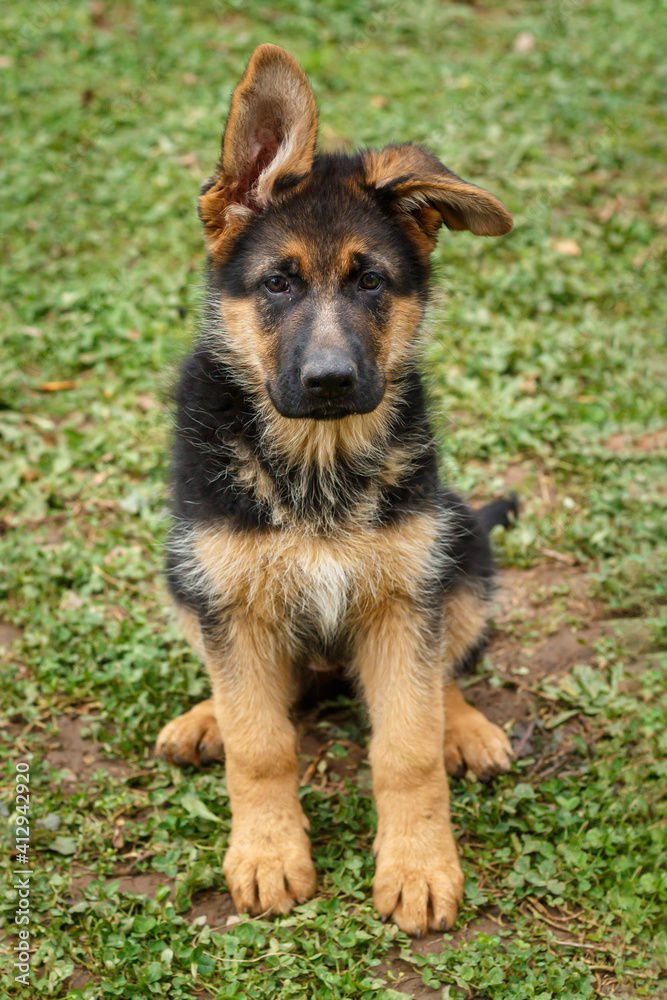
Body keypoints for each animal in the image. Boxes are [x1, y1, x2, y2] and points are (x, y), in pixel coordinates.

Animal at [157, 45, 516, 936]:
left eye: (371, 283)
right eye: (278, 284)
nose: (329, 382)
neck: (316, 463)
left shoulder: (402, 601)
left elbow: (407, 747)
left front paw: (419, 866)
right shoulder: (231, 600)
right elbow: (259, 746)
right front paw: (266, 854)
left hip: (455, 542)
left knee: (444, 672)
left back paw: (465, 728)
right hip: (184, 570)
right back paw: (204, 717)